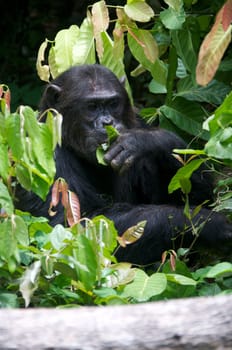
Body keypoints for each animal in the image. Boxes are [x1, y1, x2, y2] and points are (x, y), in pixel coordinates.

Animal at [15, 64, 231, 266]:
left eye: (112, 103)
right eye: (91, 106)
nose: (107, 121)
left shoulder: (137, 120)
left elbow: (200, 197)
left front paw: (144, 141)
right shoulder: (44, 152)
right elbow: (75, 227)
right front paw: (210, 223)